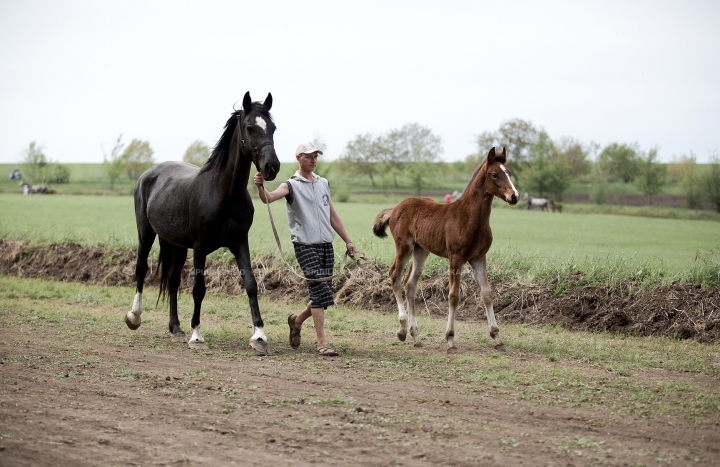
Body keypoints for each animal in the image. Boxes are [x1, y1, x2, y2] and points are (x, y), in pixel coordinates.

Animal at [124, 91, 282, 354]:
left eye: (273, 128)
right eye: (250, 127)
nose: (272, 167)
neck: (223, 192)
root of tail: (149, 174)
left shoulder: (240, 242)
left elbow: (250, 283)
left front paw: (259, 336)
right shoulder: (200, 247)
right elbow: (199, 288)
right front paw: (197, 336)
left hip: (176, 244)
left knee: (173, 279)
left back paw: (176, 328)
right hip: (145, 234)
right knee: (141, 268)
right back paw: (134, 317)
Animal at [374, 147, 520, 352]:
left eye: (509, 173)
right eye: (495, 174)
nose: (514, 196)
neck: (470, 217)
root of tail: (395, 208)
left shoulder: (479, 258)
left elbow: (487, 294)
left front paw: (497, 336)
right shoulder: (455, 258)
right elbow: (453, 296)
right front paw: (450, 338)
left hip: (421, 251)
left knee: (409, 283)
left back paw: (415, 336)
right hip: (404, 247)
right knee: (394, 275)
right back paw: (402, 330)